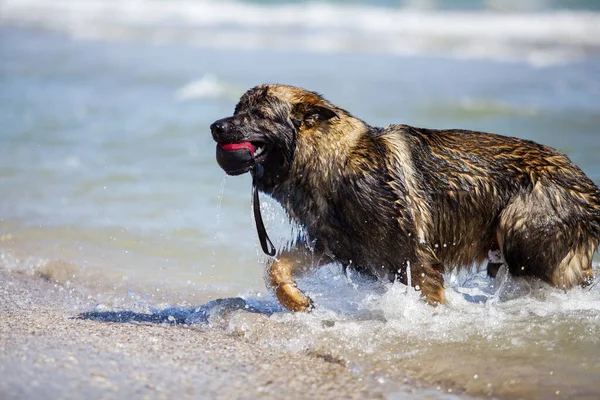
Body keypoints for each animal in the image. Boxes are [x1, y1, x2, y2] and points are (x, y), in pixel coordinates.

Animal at [211, 83, 600, 310]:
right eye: (237, 110)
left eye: (259, 115)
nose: (215, 126)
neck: (335, 164)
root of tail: (586, 183)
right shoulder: (333, 245)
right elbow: (275, 266)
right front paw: (294, 300)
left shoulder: (416, 260)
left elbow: (431, 299)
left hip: (522, 236)